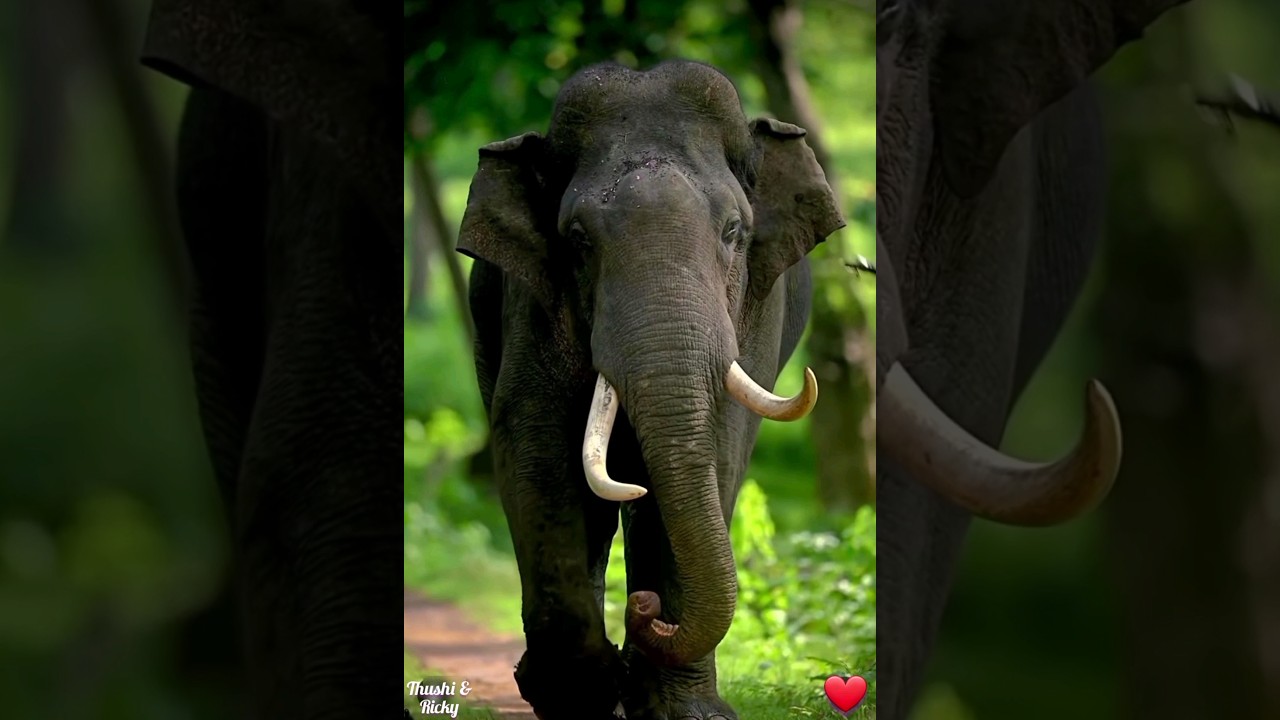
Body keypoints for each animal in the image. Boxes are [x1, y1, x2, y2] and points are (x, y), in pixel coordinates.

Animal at [456, 60, 843, 719]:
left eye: (734, 231)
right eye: (577, 238)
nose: (646, 613)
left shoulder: (756, 312)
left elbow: (716, 455)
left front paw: (686, 712)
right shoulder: (530, 299)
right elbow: (537, 454)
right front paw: (581, 694)